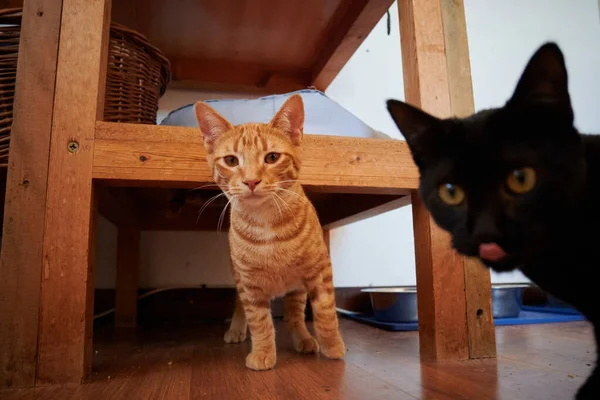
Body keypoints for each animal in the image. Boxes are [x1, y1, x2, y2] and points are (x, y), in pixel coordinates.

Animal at [195, 95, 344, 370]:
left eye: (272, 157)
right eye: (231, 160)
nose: (251, 181)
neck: (267, 223)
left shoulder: (319, 271)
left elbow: (325, 312)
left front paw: (333, 346)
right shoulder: (250, 285)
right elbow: (259, 321)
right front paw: (263, 352)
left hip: (297, 289)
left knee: (294, 315)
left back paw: (303, 337)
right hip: (238, 278)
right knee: (240, 306)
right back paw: (236, 328)